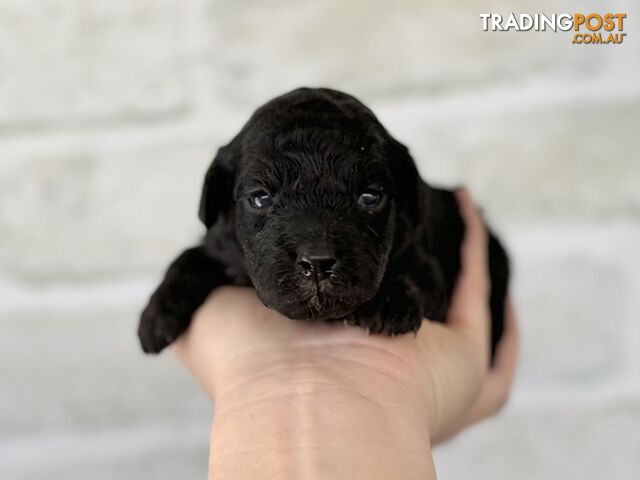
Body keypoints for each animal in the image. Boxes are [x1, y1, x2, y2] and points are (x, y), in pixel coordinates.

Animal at [140, 87, 510, 356]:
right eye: (260, 198)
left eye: (370, 197)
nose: (317, 262)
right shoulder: (221, 244)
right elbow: (191, 255)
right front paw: (156, 314)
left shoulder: (424, 260)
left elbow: (415, 271)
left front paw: (389, 302)